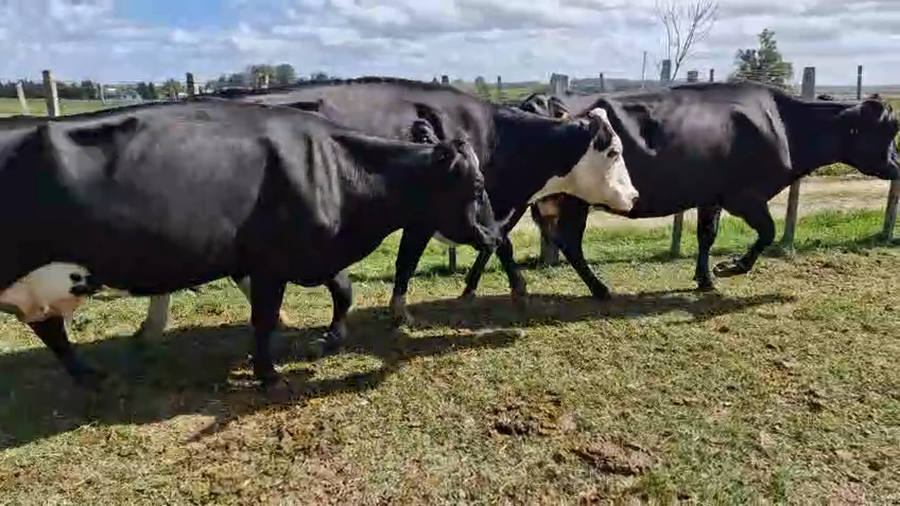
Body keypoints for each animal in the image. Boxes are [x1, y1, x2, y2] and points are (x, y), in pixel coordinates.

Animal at [0, 99, 505, 391]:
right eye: (479, 185)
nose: (497, 232)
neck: (337, 167)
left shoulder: (307, 253)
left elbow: (344, 291)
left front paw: (330, 340)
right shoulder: (269, 263)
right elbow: (263, 320)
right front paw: (268, 374)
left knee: (50, 328)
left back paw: (91, 376)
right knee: (50, 329)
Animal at [119, 76, 638, 330]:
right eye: (614, 151)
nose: (632, 197)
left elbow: (500, 244)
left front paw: (511, 289)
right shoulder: (427, 215)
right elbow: (409, 261)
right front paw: (400, 312)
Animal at [484, 82, 899, 299]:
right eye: (887, 130)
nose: (897, 165)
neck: (783, 124)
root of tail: (536, 100)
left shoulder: (711, 196)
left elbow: (706, 235)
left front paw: (705, 278)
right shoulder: (744, 196)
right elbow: (768, 232)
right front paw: (731, 268)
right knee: (538, 240)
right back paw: (578, 288)